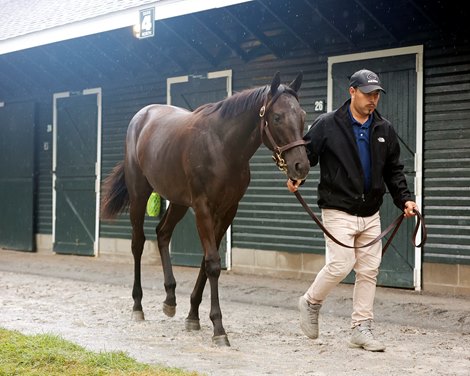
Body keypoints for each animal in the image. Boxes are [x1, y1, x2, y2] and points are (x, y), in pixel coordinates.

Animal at [101, 71, 310, 346]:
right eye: (277, 117)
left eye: (303, 115)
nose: (301, 166)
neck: (221, 147)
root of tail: (142, 116)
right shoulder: (203, 208)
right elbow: (212, 263)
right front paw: (218, 328)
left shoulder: (228, 210)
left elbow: (205, 262)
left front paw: (193, 316)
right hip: (139, 194)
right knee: (137, 243)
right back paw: (138, 306)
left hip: (179, 202)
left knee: (162, 233)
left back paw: (170, 300)